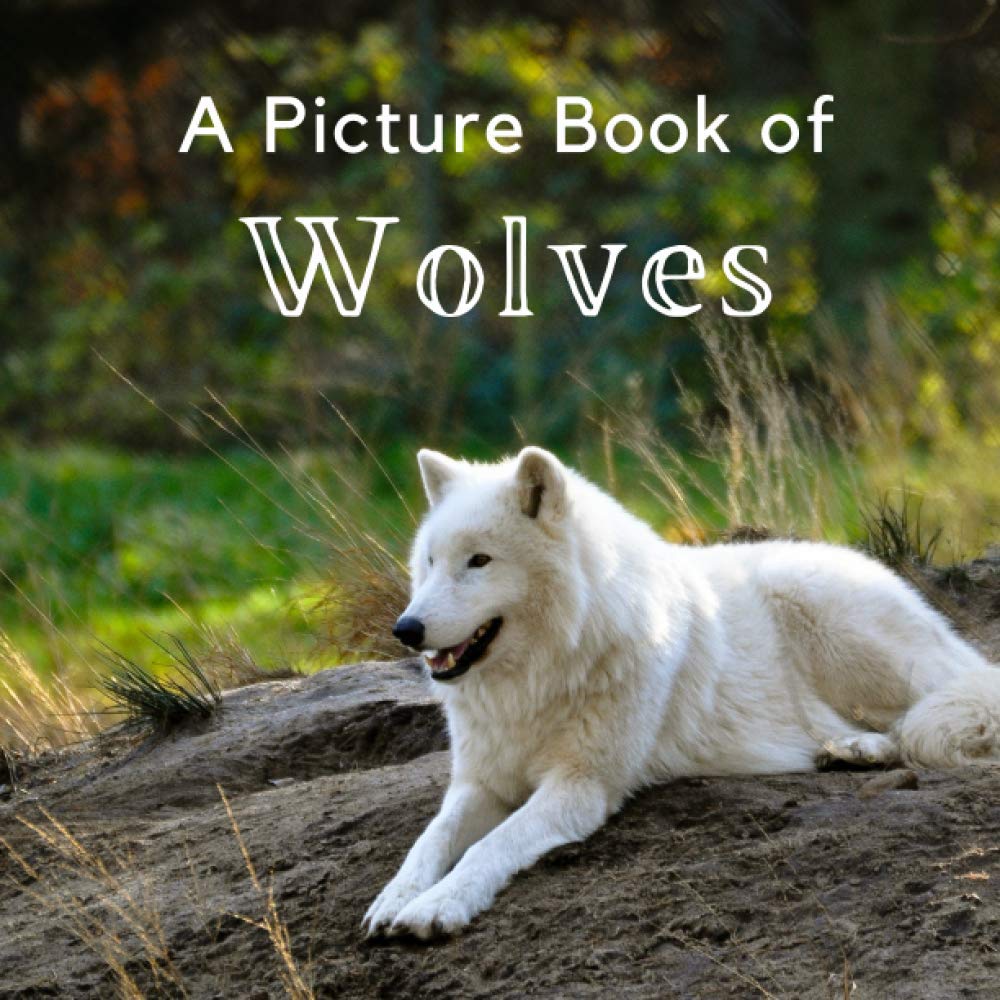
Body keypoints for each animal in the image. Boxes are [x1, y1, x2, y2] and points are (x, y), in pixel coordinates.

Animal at [363, 446, 1000, 939]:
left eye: (479, 561)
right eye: (430, 561)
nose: (406, 630)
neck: (538, 680)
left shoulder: (581, 786)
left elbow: (488, 846)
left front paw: (437, 906)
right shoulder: (480, 782)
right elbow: (430, 840)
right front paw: (394, 898)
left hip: (833, 624)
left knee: (933, 710)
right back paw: (849, 751)